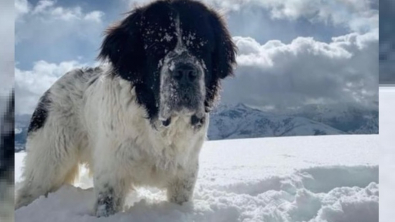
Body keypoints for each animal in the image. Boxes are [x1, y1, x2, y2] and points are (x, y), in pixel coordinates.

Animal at [15, 0, 237, 216]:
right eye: (157, 46)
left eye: (202, 46)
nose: (185, 71)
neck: (156, 125)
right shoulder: (111, 174)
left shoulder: (184, 175)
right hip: (50, 163)